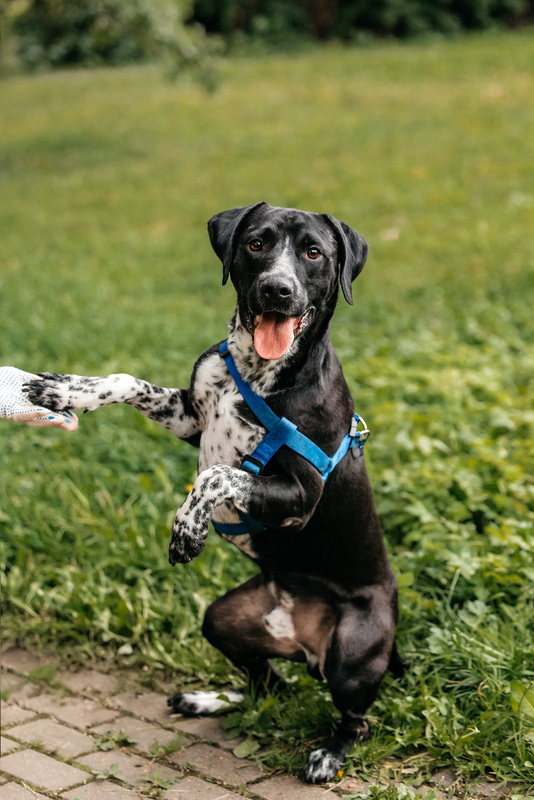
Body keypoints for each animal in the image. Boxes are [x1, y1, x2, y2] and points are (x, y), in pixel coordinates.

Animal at [26, 203, 402, 784]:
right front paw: (69, 390)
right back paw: (211, 699)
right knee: (268, 686)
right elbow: (127, 381)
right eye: (256, 243)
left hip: (352, 654)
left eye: (314, 252)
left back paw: (327, 754)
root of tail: (304, 642)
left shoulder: (300, 496)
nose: (276, 290)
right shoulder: (188, 416)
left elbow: (218, 475)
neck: (256, 373)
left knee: (356, 720)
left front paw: (187, 528)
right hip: (223, 622)